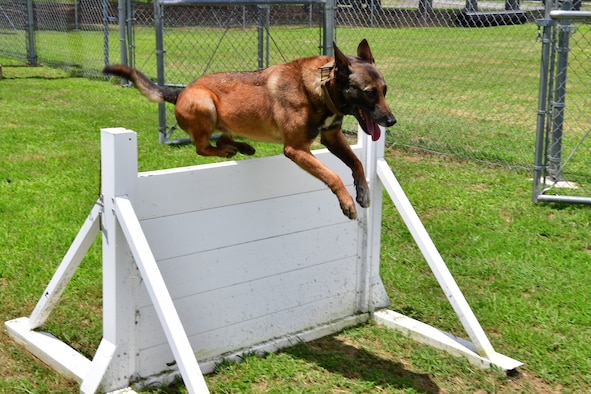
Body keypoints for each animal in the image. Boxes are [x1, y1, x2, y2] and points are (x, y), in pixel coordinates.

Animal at [104, 39, 396, 219]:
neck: (321, 88)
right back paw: (229, 151)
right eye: (369, 93)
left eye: (385, 90)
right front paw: (347, 202)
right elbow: (333, 175)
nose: (391, 121)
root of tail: (181, 91)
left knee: (219, 140)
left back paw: (241, 146)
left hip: (227, 120)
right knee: (202, 147)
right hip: (205, 103)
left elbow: (356, 162)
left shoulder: (332, 137)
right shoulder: (296, 149)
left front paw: (362, 190)